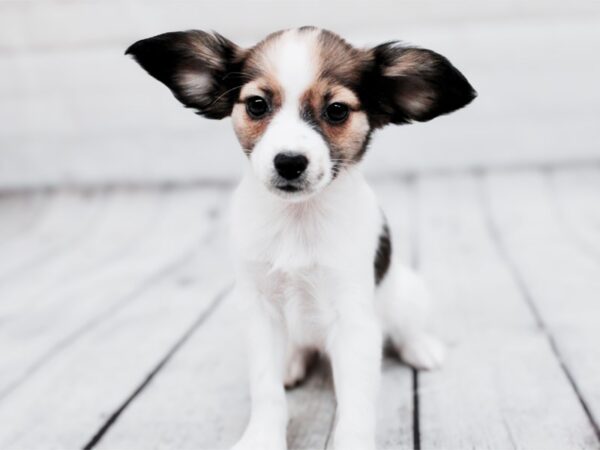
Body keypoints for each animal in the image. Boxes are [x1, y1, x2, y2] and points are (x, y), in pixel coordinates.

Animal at [127, 26, 478, 448]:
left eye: (337, 110)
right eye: (257, 105)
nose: (289, 162)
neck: (297, 221)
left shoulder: (353, 321)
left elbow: (356, 406)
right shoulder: (260, 312)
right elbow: (266, 391)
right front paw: (262, 438)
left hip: (406, 292)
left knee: (407, 327)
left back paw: (421, 347)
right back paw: (293, 362)